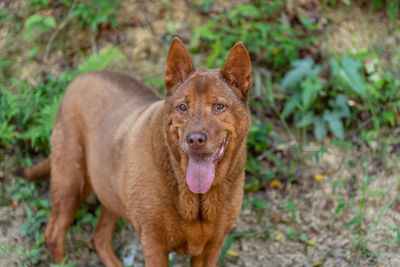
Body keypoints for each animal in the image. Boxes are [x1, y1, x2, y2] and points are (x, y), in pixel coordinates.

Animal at [20, 38, 252, 267]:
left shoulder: (212, 248)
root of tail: (78, 78)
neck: (197, 197)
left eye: (220, 106)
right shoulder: (154, 245)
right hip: (72, 181)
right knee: (54, 233)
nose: (195, 139)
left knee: (99, 238)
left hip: (109, 191)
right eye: (182, 107)